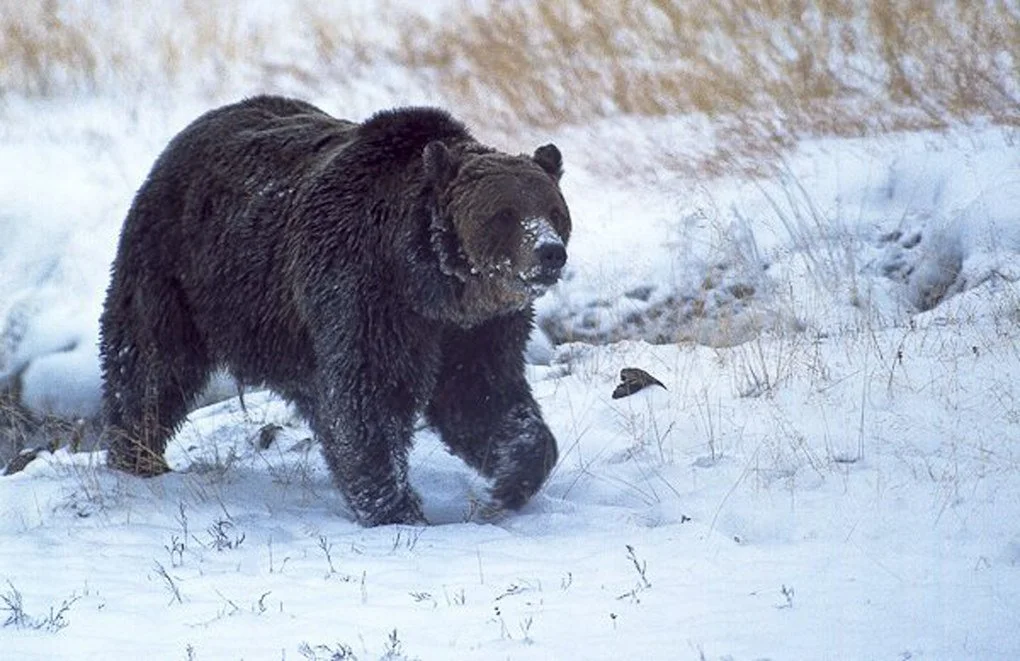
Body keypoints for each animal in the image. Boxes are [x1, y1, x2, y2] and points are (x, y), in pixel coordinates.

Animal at [99, 95, 571, 526]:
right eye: (504, 214)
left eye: (554, 210)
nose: (550, 252)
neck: (433, 287)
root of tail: (193, 129)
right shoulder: (365, 293)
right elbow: (370, 397)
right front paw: (396, 508)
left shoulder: (479, 328)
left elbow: (482, 396)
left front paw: (509, 481)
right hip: (180, 270)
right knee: (150, 362)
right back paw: (137, 456)